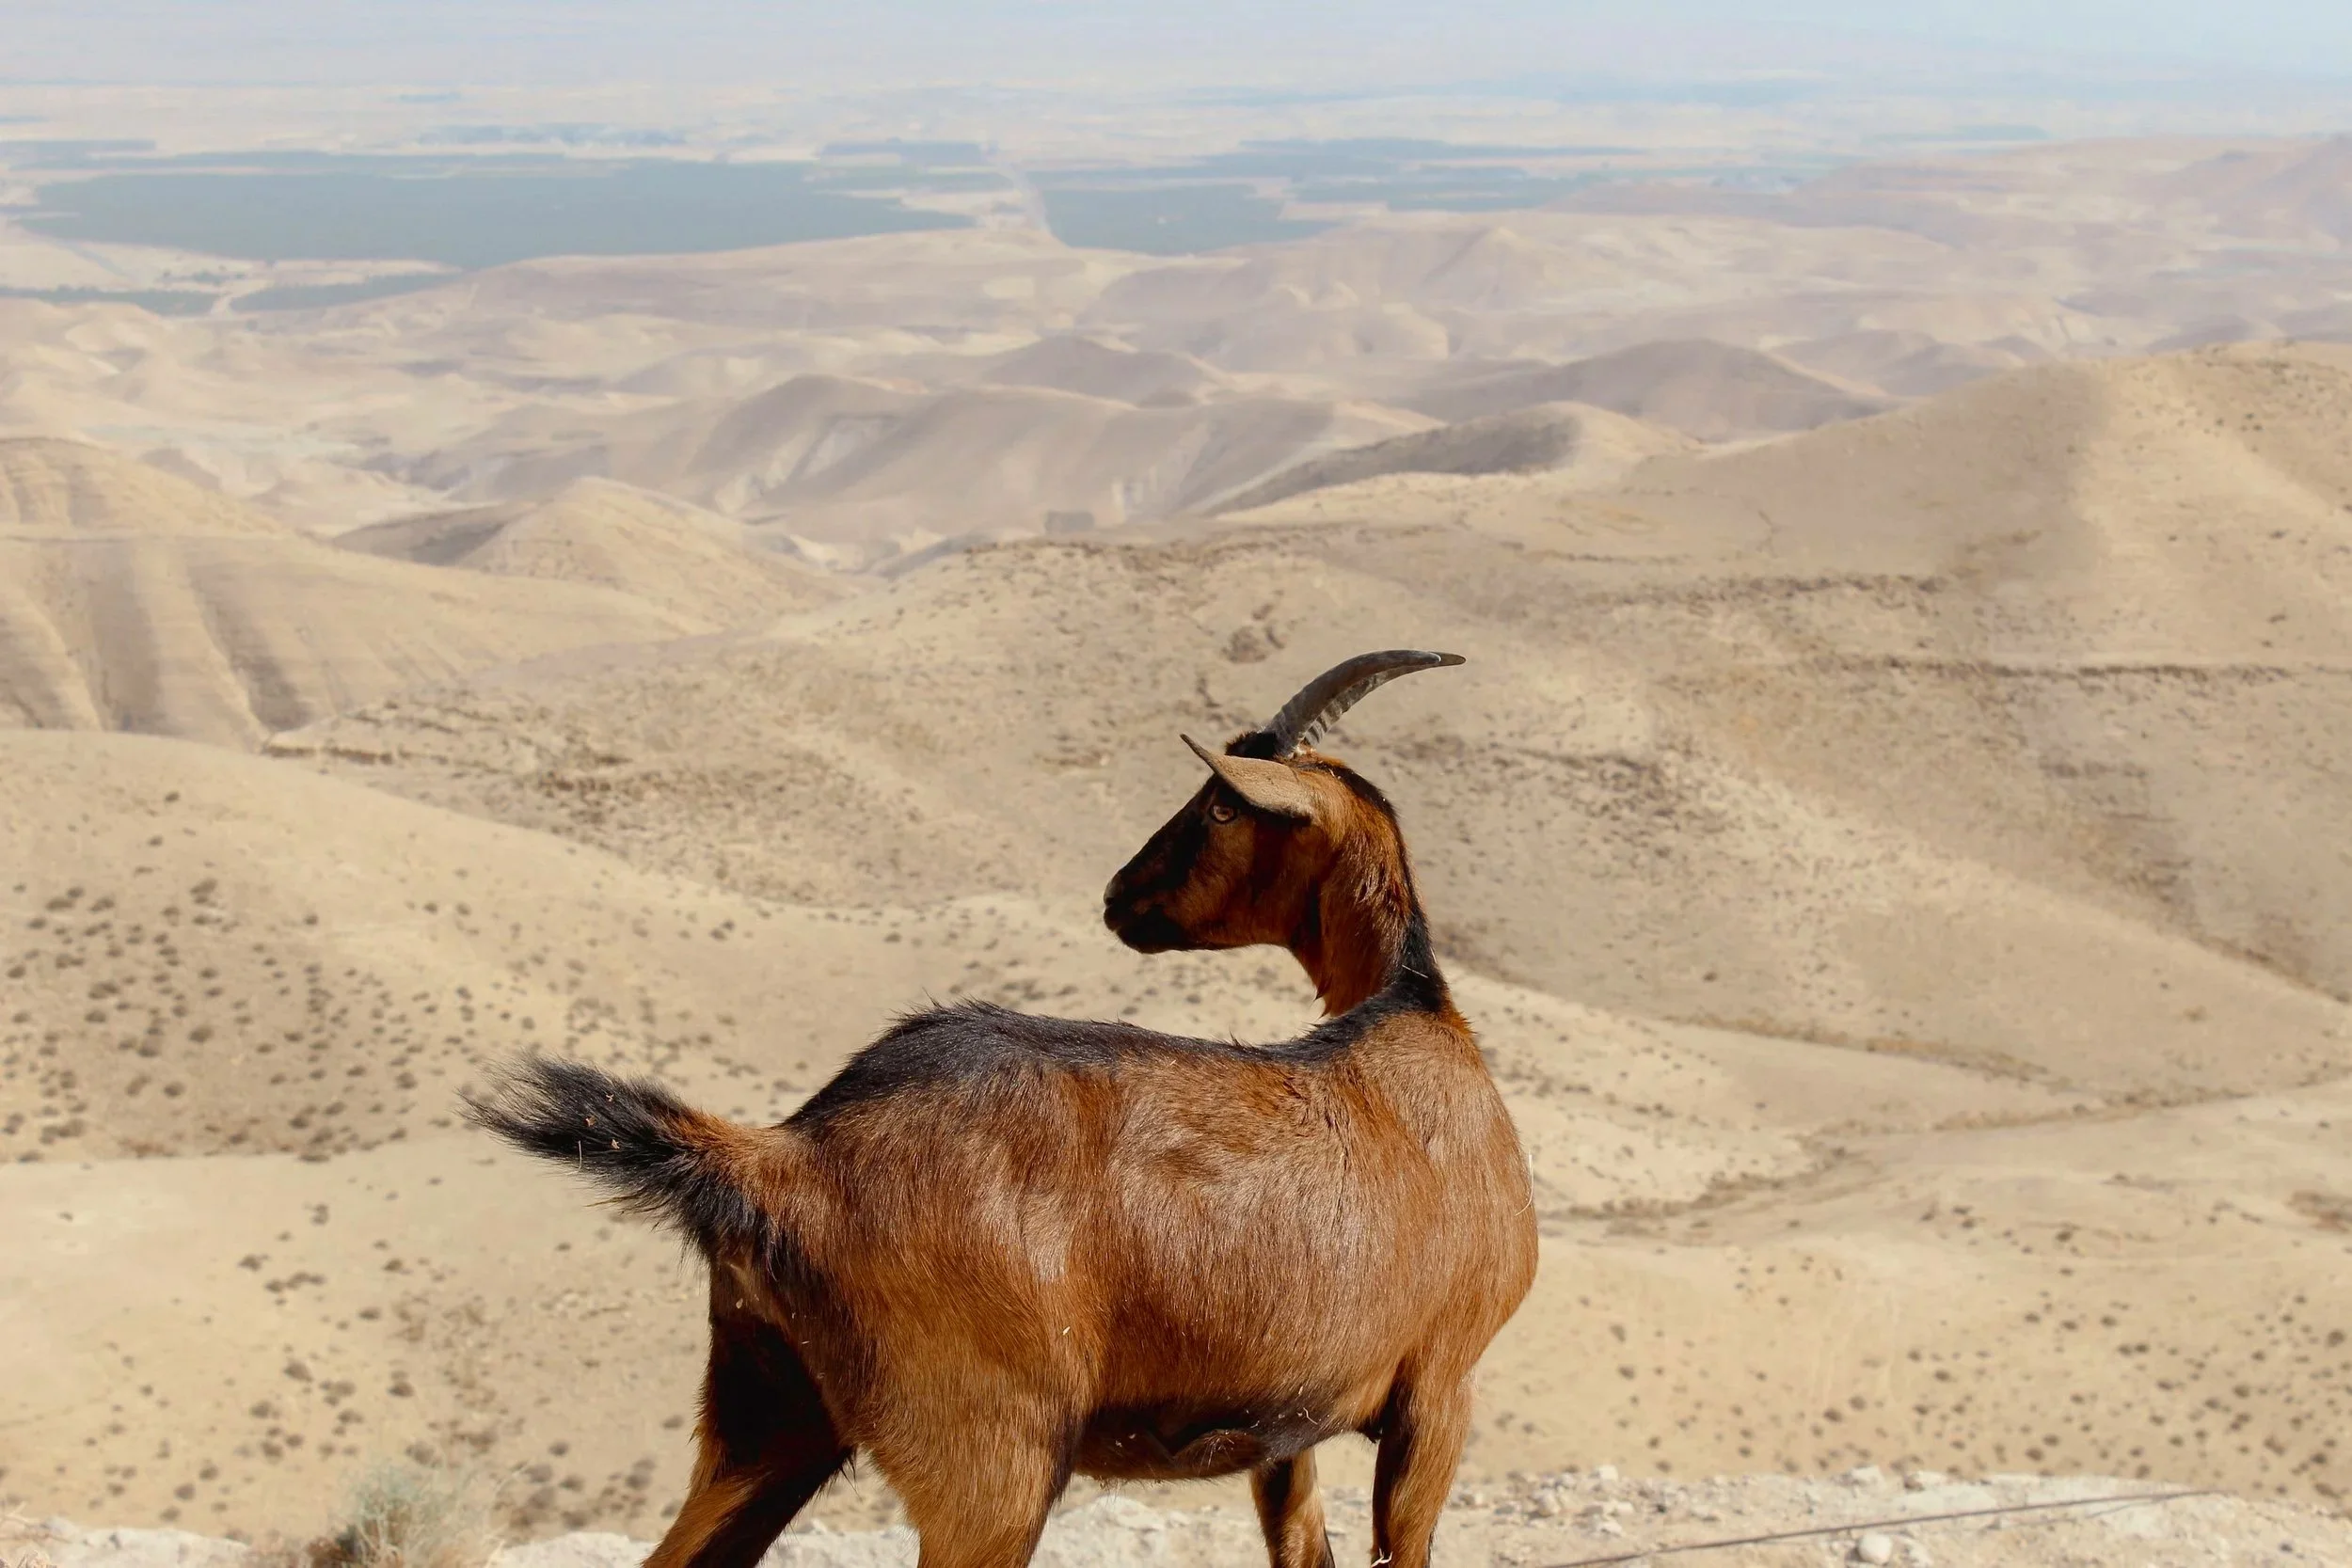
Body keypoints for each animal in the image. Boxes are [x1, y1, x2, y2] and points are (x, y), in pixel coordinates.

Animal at [465, 650, 1538, 1568]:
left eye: (1222, 805)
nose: (1119, 895)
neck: (1413, 1011)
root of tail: (786, 1154)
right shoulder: (1439, 1390)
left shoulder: (1291, 1424)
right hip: (989, 1460)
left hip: (766, 1419)